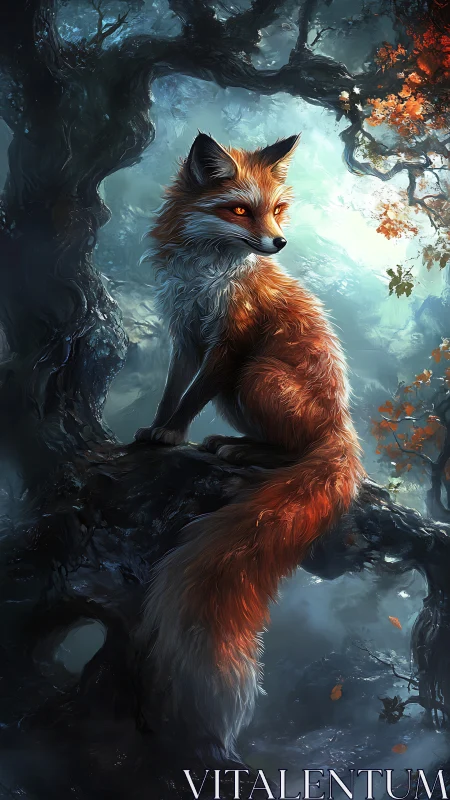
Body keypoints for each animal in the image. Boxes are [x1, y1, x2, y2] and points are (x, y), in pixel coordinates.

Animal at [134, 132, 364, 756]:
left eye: (277, 209)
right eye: (240, 210)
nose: (279, 243)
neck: (208, 274)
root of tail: (345, 428)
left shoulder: (230, 345)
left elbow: (190, 398)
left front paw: (173, 435)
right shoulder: (186, 335)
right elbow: (174, 393)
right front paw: (159, 432)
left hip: (256, 376)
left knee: (294, 454)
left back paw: (244, 455)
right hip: (243, 393)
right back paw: (231, 444)